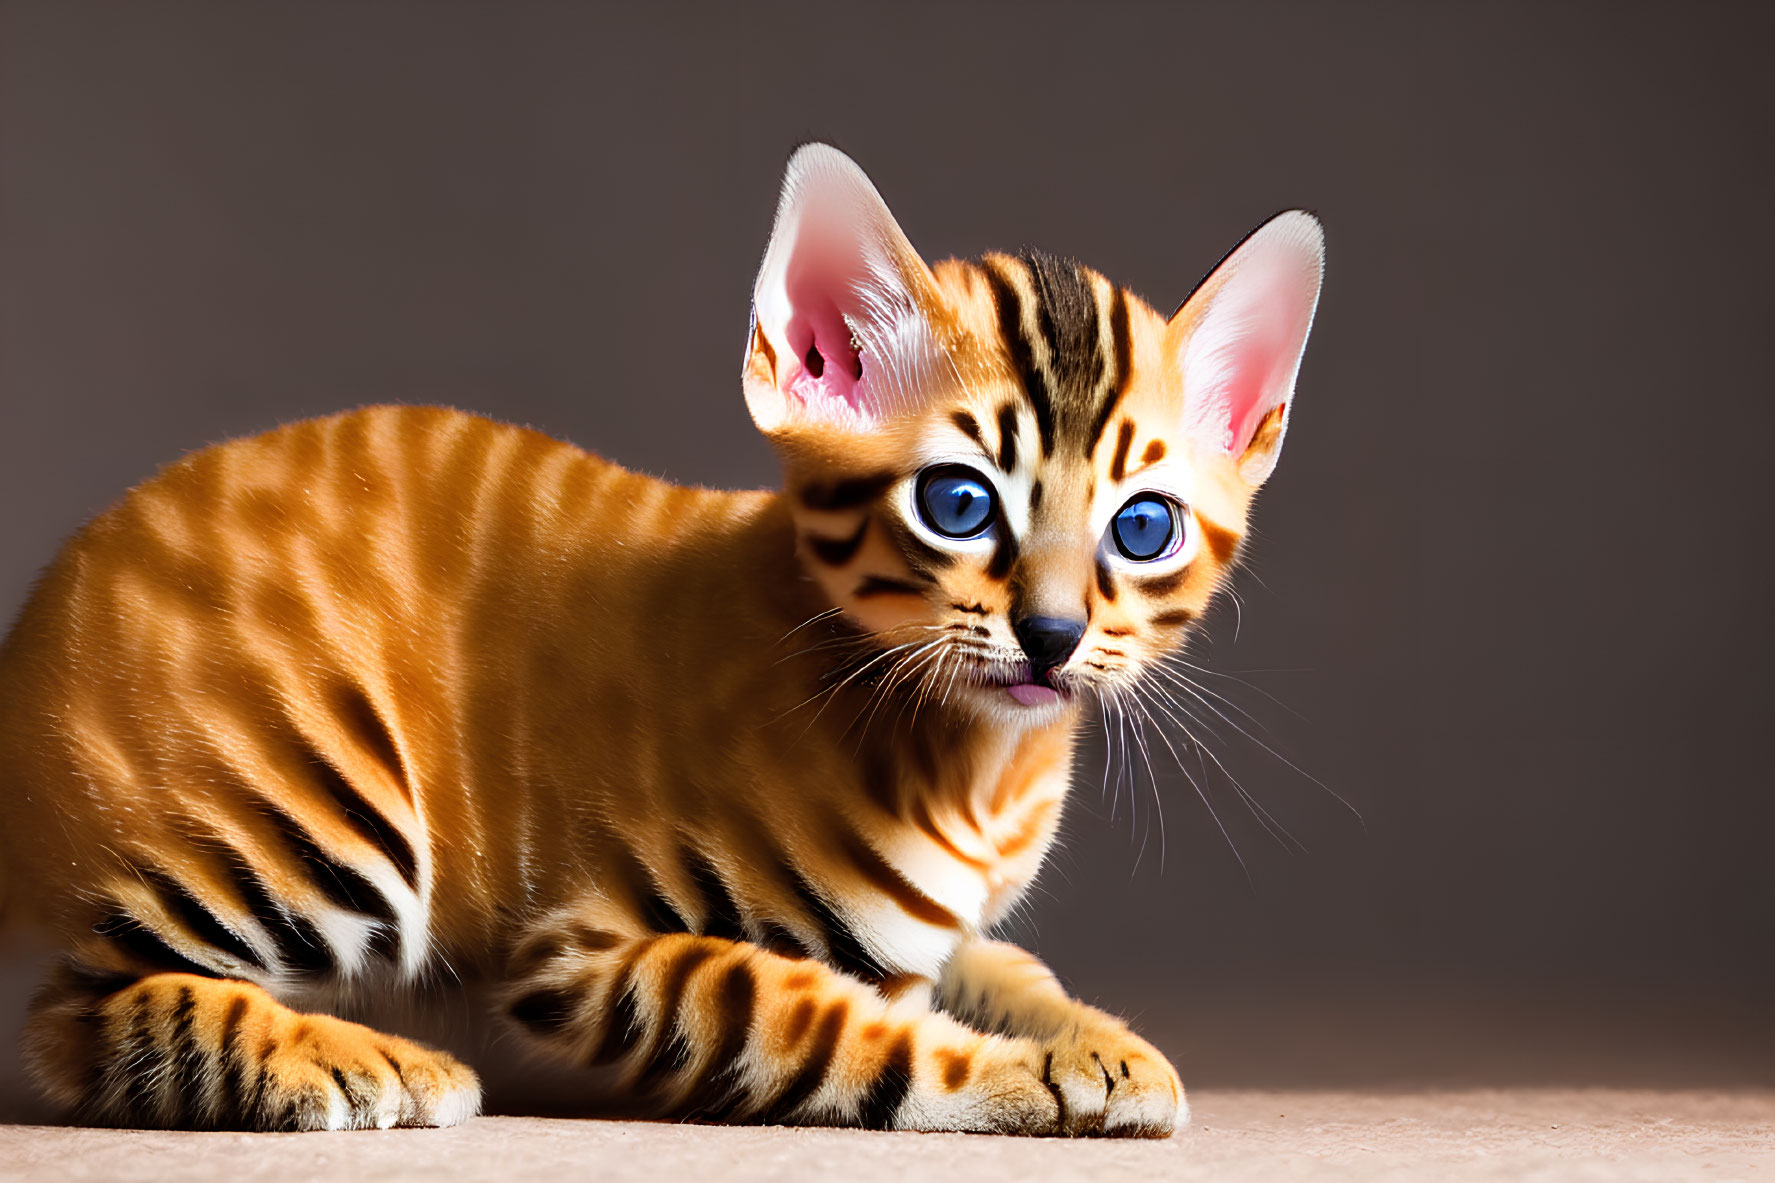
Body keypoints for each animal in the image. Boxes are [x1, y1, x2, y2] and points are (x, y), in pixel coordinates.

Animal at [0, 147, 1320, 1136]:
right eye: (957, 503)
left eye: (1141, 528)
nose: (1050, 635)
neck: (977, 771)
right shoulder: (575, 952)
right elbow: (815, 1015)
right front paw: (1025, 1073)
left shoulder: (938, 938)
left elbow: (1008, 971)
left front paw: (1101, 1041)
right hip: (325, 796)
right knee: (75, 1017)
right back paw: (354, 1060)